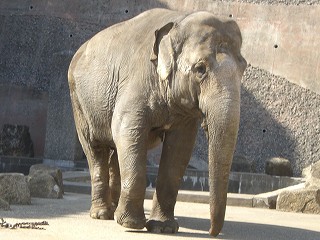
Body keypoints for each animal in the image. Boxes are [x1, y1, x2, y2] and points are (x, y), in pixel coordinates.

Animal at [67, 7, 248, 236]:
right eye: (200, 69)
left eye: (243, 69)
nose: (211, 232)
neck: (178, 20)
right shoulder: (136, 82)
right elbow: (127, 130)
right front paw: (131, 224)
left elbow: (179, 147)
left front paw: (164, 228)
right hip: (79, 100)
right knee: (95, 148)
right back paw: (102, 214)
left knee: (115, 152)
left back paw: (114, 210)